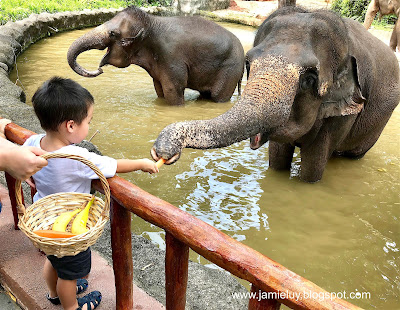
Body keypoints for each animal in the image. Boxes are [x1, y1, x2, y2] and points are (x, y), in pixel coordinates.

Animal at [66, 6, 244, 104]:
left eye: (113, 34)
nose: (99, 70)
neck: (151, 22)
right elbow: (159, 89)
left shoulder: (172, 58)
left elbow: (173, 90)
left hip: (230, 71)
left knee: (217, 96)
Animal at [151, 6, 400, 182]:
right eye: (248, 63)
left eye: (309, 79)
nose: (162, 152)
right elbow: (278, 156)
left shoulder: (343, 114)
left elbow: (313, 166)